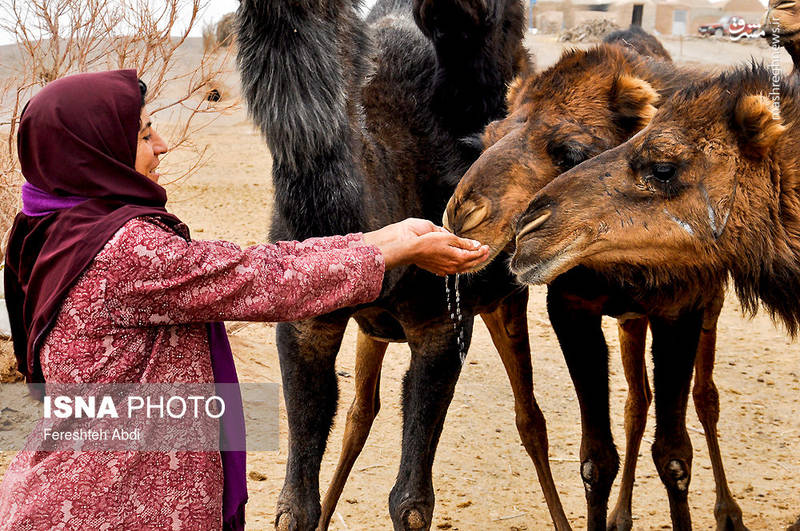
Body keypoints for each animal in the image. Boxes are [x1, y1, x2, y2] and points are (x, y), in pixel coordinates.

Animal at [236, 1, 576, 531]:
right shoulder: (306, 324)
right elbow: (295, 505)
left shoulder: (441, 328)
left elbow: (412, 502)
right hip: (375, 328)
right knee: (359, 415)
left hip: (505, 299)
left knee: (530, 419)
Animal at [444, 42, 752, 531]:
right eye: (485, 140)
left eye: (570, 151)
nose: (461, 216)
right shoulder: (573, 307)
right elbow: (596, 459)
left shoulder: (681, 308)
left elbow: (674, 455)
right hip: (631, 320)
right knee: (637, 402)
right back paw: (623, 515)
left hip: (710, 303)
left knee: (705, 397)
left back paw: (727, 512)